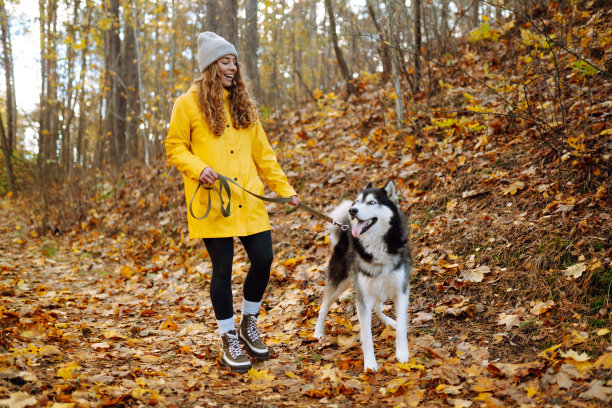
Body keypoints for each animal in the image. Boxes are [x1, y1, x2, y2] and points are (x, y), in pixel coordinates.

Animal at [316, 180, 412, 372]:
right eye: (357, 201)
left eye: (372, 202)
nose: (352, 210)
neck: (376, 247)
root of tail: (344, 231)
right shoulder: (363, 297)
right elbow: (366, 336)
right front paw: (370, 364)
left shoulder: (401, 290)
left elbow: (401, 328)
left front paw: (402, 353)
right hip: (340, 284)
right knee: (323, 306)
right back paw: (318, 332)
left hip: (379, 288)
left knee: (378, 307)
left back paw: (390, 321)